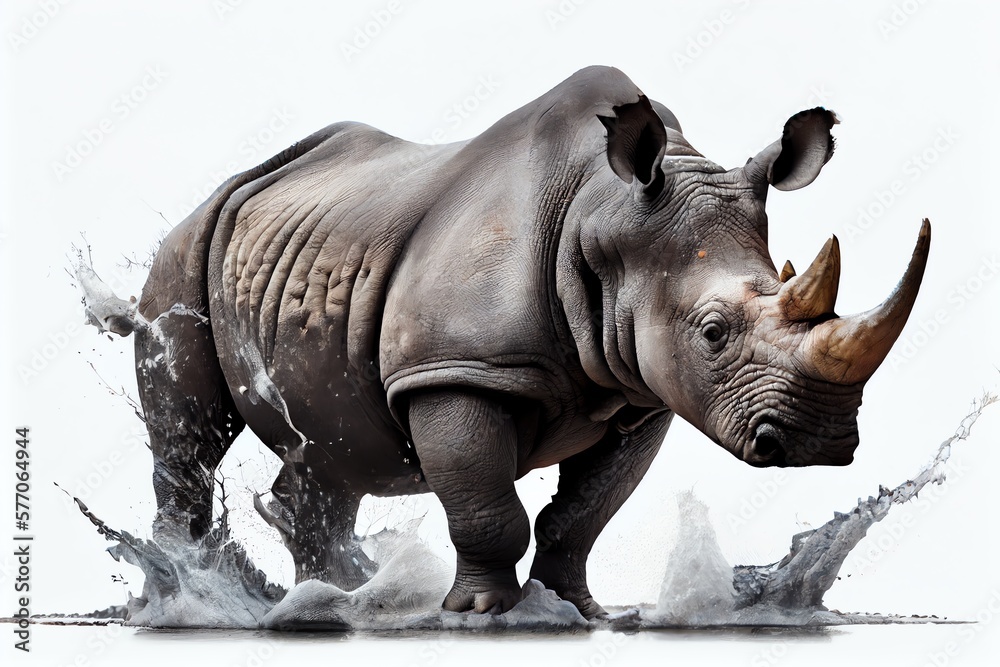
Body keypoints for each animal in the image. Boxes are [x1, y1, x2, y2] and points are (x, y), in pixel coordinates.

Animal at [127, 65, 928, 619]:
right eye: (712, 333)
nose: (819, 440)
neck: (599, 215)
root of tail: (235, 186)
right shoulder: (456, 368)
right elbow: (488, 506)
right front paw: (478, 614)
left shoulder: (640, 394)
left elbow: (582, 515)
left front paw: (576, 610)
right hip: (185, 249)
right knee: (189, 435)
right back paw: (184, 595)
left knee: (328, 452)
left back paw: (338, 599)